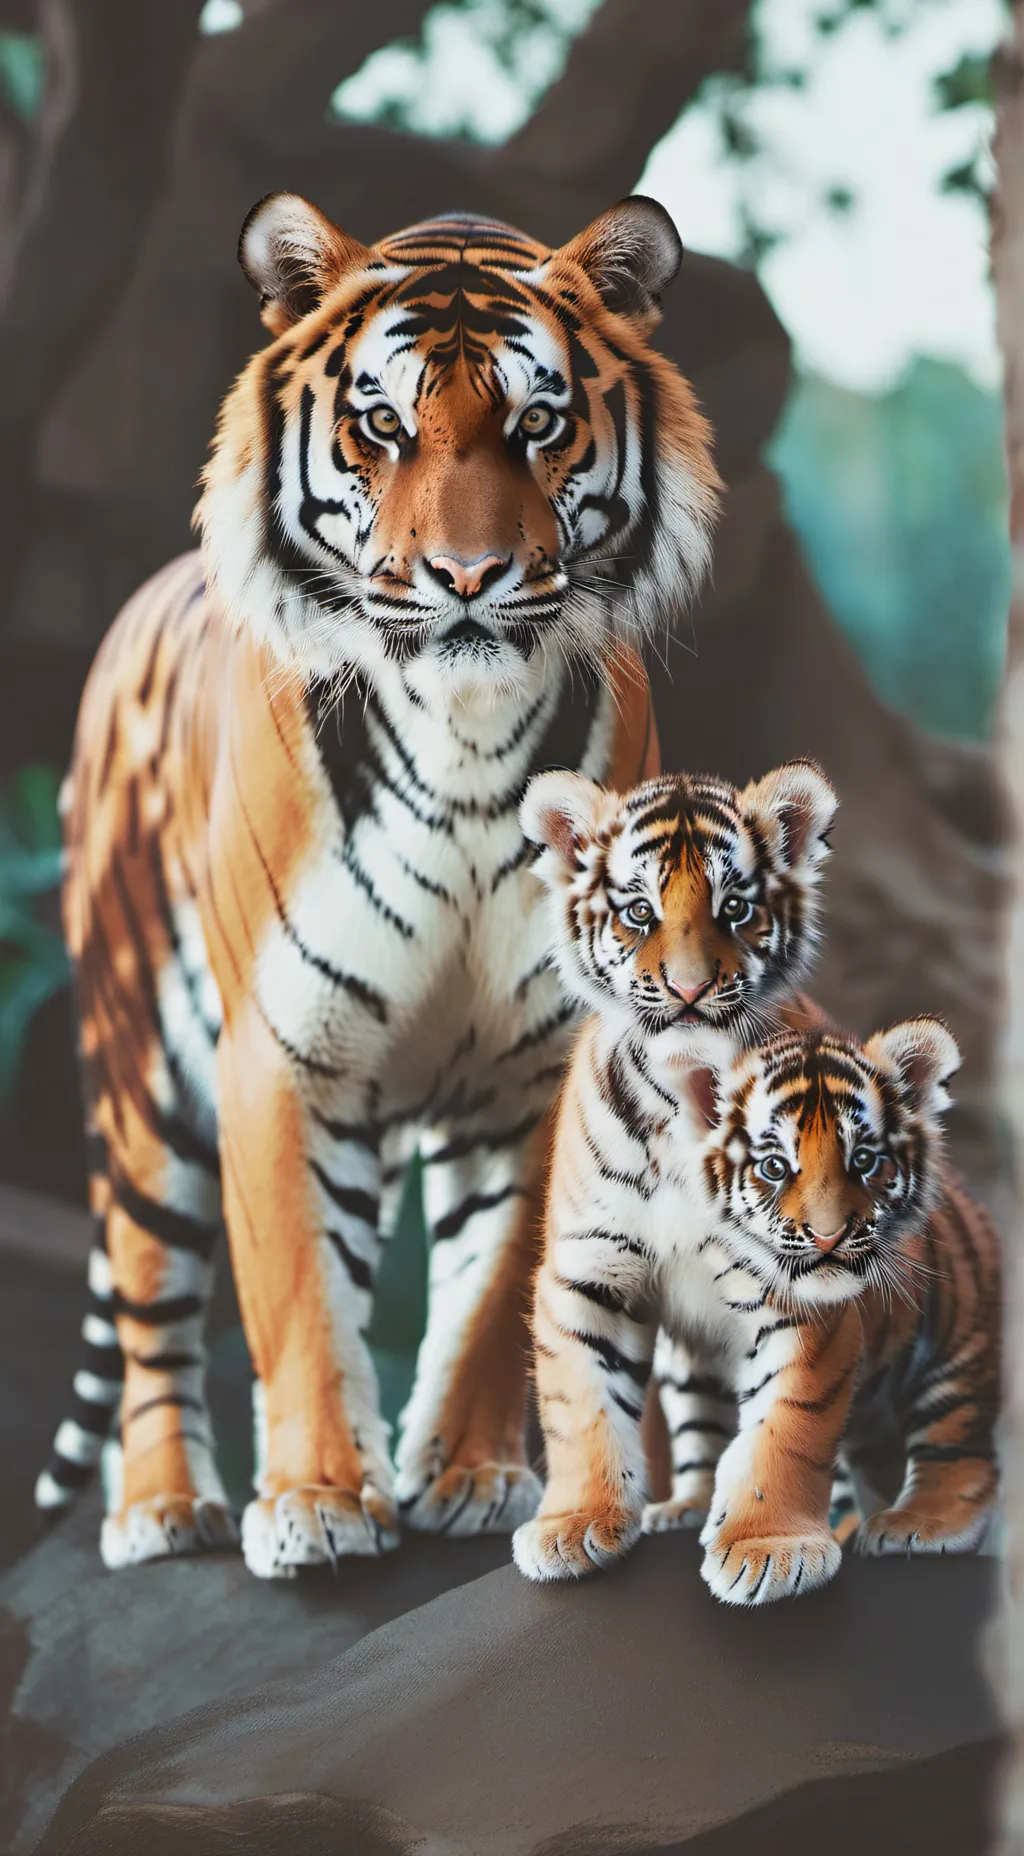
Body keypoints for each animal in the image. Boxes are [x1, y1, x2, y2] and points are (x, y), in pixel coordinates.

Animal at [34, 191, 720, 1579]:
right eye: (383, 424)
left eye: (538, 423)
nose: (466, 577)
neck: (466, 739)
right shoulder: (282, 1049)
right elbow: (298, 1288)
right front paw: (315, 1500)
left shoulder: (538, 1065)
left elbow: (496, 1284)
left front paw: (465, 1474)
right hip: (138, 1070)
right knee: (151, 1300)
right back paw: (161, 1506)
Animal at [511, 768, 1001, 1604]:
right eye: (638, 912)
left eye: (734, 908)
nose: (686, 990)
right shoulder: (587, 1268)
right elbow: (582, 1407)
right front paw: (575, 1524)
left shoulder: (804, 1295)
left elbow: (787, 1426)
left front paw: (767, 1546)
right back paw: (687, 1504)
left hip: (955, 1348)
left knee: (960, 1446)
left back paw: (919, 1522)